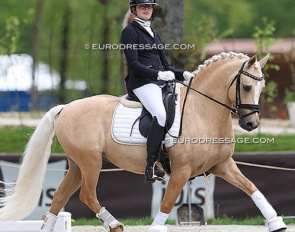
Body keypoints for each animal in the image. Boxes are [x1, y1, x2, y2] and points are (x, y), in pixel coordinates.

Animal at [0, 51, 288, 231]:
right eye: (247, 87)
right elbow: (167, 203)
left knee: (60, 197)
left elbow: (252, 188)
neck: (202, 110)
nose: (251, 125)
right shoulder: (181, 171)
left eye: (262, 88)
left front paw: (277, 223)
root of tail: (66, 108)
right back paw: (114, 224)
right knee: (87, 195)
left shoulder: (223, 165)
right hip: (91, 163)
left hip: (77, 166)